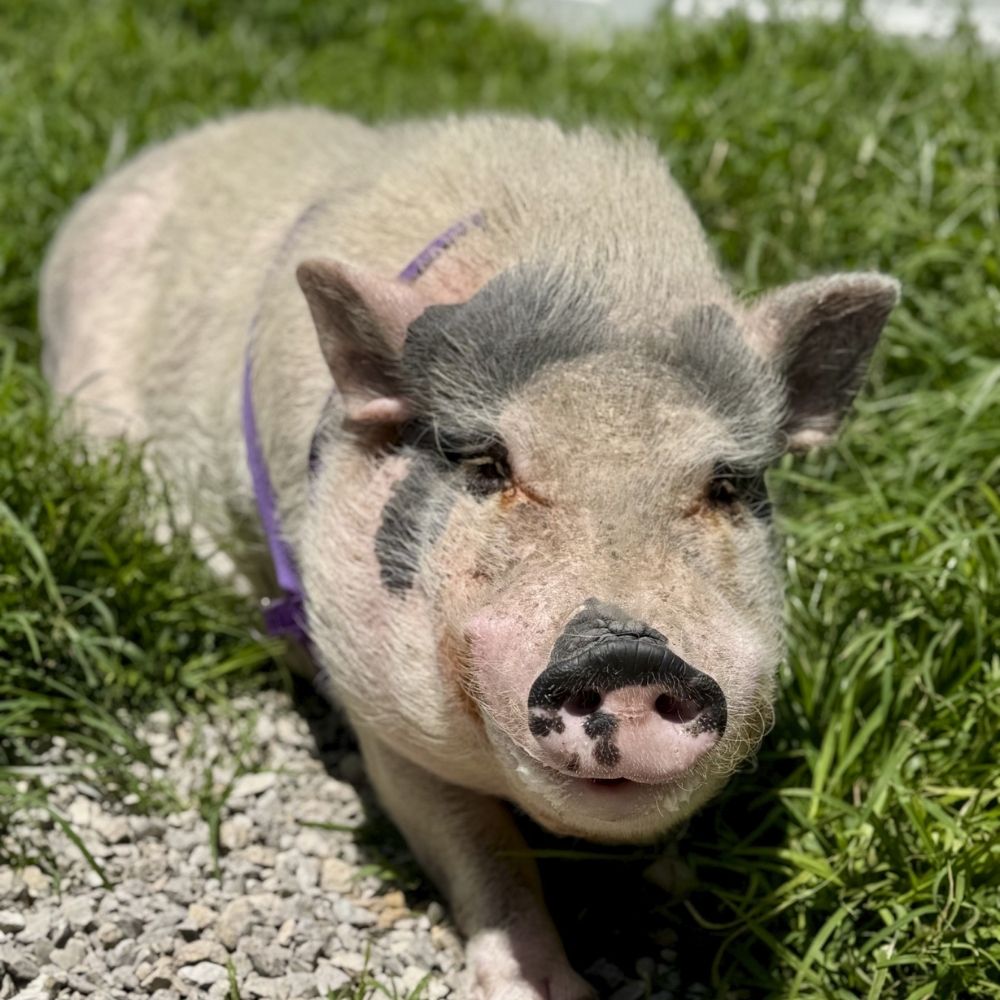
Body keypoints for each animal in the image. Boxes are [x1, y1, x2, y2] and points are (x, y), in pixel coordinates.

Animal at [40, 108, 899, 999]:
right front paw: (549, 989)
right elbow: (481, 845)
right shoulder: (376, 706)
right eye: (490, 466)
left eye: (725, 484)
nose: (629, 655)